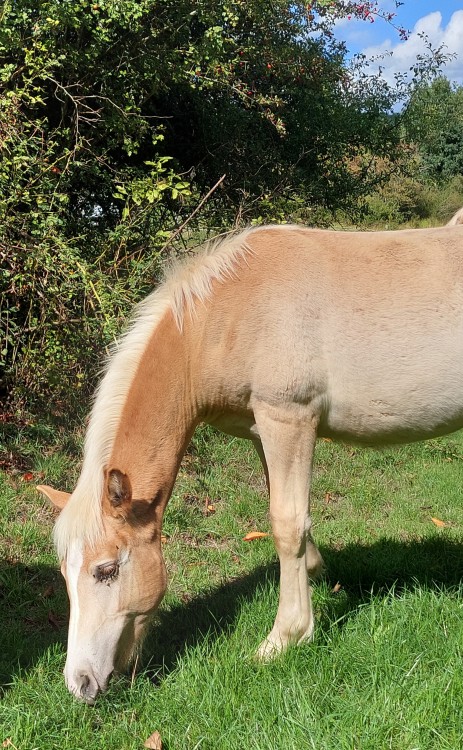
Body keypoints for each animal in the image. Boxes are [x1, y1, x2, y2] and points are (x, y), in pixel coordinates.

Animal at [38, 222, 463, 703]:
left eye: (106, 570)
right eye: (64, 574)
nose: (79, 683)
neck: (227, 313)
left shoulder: (288, 420)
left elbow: (287, 524)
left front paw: (285, 638)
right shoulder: (264, 430)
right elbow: (288, 516)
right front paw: (316, 574)